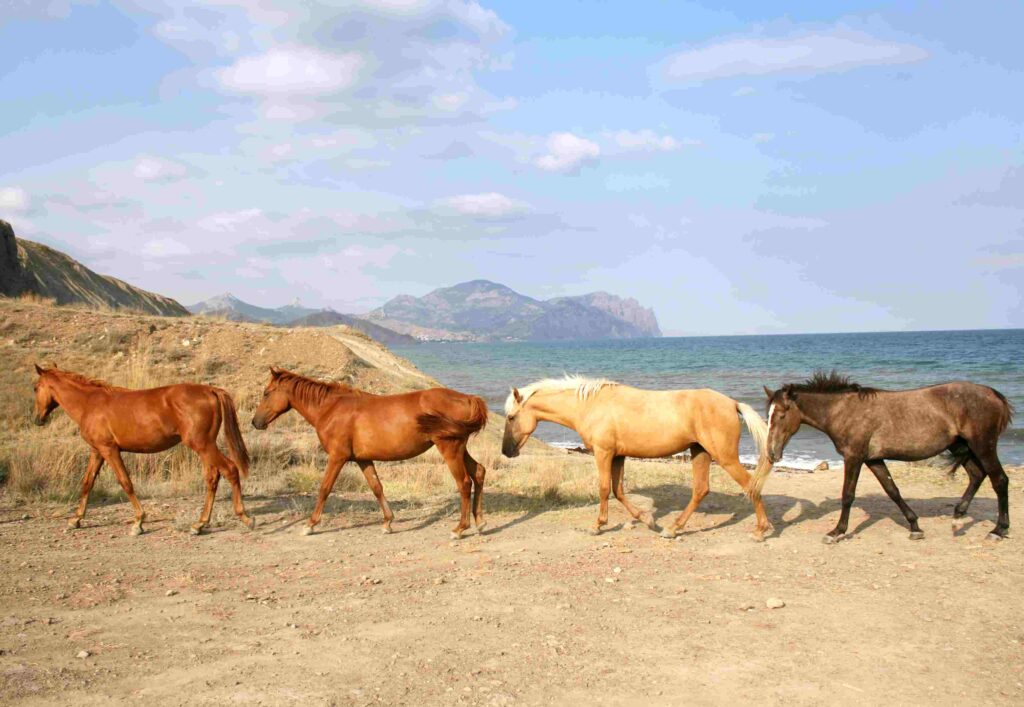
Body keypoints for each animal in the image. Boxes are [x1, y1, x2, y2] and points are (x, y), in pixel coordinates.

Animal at [30, 362, 254, 532]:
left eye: (35, 387)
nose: (37, 419)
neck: (90, 403)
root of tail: (211, 390)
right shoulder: (97, 451)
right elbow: (87, 483)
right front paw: (75, 519)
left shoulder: (110, 450)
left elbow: (125, 482)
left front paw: (138, 521)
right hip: (205, 447)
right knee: (212, 478)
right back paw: (199, 524)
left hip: (203, 446)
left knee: (230, 470)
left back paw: (244, 517)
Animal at [248, 366, 487, 536]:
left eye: (267, 393)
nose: (255, 422)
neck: (331, 408)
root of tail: (468, 398)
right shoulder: (363, 459)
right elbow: (377, 488)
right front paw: (388, 522)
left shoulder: (337, 457)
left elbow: (324, 488)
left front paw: (310, 524)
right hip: (459, 448)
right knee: (479, 472)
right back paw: (480, 522)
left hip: (450, 448)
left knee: (464, 482)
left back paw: (460, 528)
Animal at [499, 377, 770, 536]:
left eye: (511, 417)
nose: (506, 451)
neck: (590, 405)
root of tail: (733, 403)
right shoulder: (618, 456)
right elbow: (618, 490)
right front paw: (648, 520)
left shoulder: (603, 453)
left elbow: (604, 489)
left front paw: (597, 526)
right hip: (700, 452)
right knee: (701, 490)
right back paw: (672, 529)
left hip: (724, 456)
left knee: (750, 485)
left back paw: (761, 529)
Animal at [765, 368, 1011, 541]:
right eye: (769, 414)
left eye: (782, 414)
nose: (771, 453)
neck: (845, 411)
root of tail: (994, 394)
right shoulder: (873, 459)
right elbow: (892, 490)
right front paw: (915, 527)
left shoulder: (854, 457)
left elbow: (848, 494)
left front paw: (836, 532)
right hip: (962, 447)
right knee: (977, 475)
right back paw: (958, 518)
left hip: (983, 446)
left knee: (999, 480)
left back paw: (998, 530)